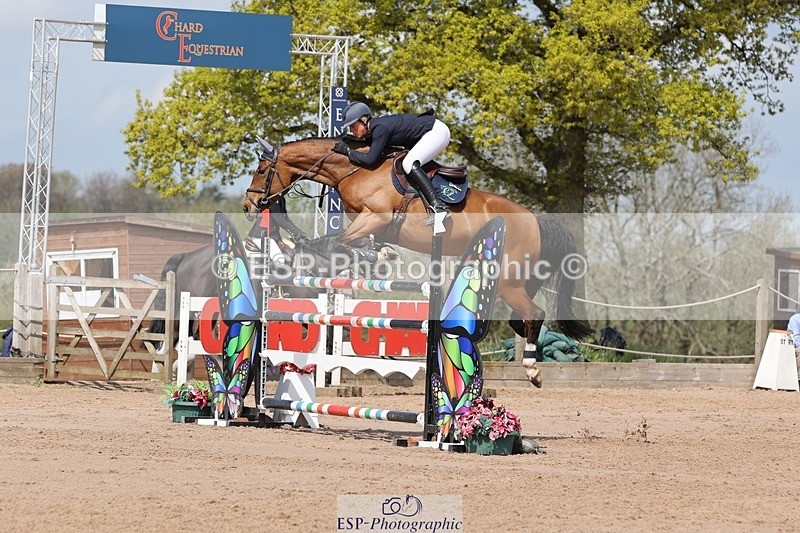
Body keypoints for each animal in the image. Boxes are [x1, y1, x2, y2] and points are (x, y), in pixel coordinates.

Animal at [242, 136, 593, 387]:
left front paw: (370, 255)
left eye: (261, 170)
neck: (354, 168)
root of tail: (534, 218)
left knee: (535, 314)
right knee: (522, 319)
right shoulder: (372, 226)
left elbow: (339, 242)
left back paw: (533, 370)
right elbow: (344, 242)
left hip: (509, 282)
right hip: (522, 279)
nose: (249, 206)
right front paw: (374, 254)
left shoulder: (375, 219)